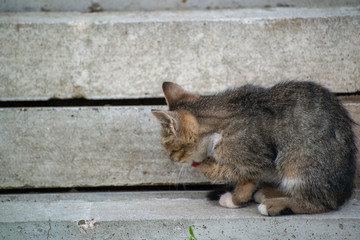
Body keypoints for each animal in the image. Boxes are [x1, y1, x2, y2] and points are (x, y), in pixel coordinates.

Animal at [150, 81, 356, 217]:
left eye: (170, 150)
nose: (171, 160)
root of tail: (344, 192)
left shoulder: (255, 157)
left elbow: (237, 172)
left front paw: (212, 171)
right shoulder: (254, 160)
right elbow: (247, 179)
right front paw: (239, 198)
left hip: (297, 160)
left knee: (322, 202)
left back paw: (273, 205)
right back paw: (267, 193)